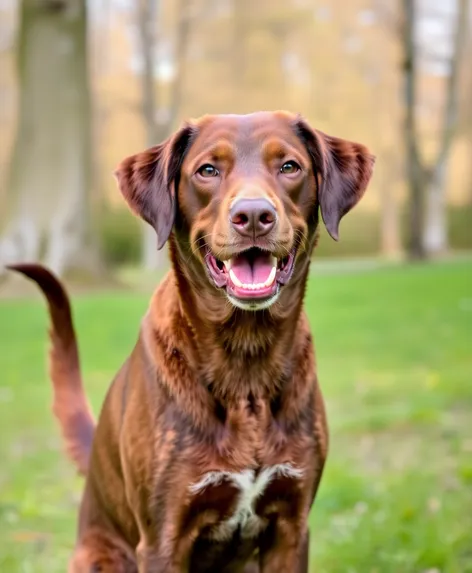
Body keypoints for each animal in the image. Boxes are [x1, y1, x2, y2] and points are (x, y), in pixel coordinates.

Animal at [9, 109, 374, 568]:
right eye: (208, 170)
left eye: (290, 166)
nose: (253, 215)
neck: (246, 362)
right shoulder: (164, 537)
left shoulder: (291, 528)